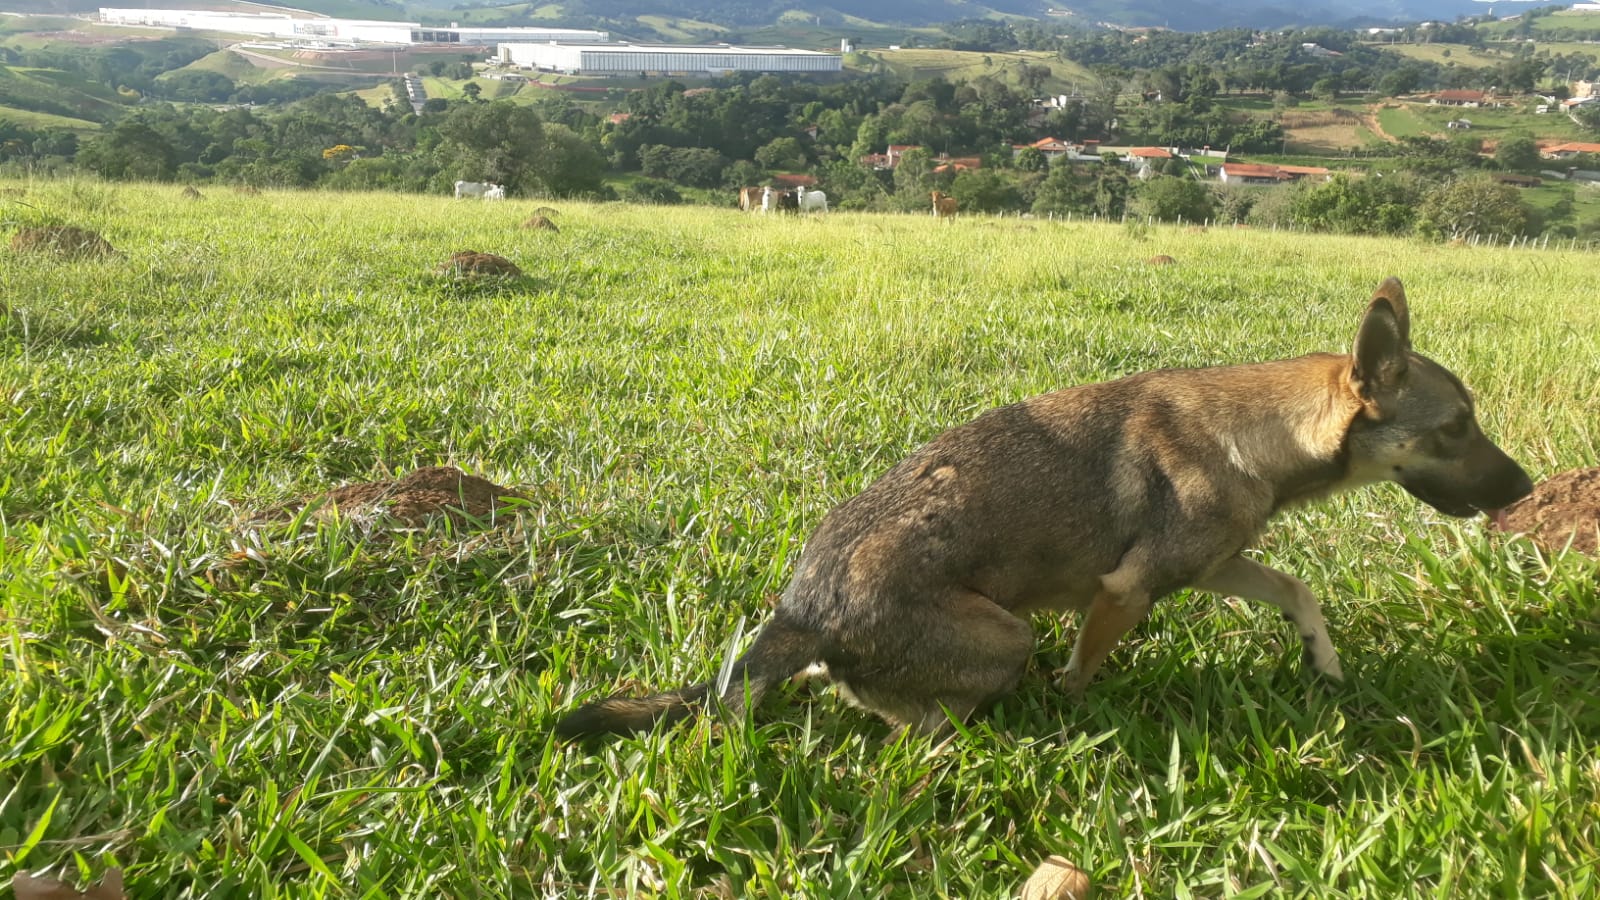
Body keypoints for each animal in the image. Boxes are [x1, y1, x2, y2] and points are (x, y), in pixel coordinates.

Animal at [556, 275, 1529, 736]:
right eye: (1458, 427)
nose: (1525, 491)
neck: (1263, 432)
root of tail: (803, 611)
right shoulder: (1128, 589)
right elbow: (1083, 669)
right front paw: (1077, 707)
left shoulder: (1212, 565)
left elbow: (1297, 590)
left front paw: (1323, 664)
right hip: (1004, 636)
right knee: (908, 717)